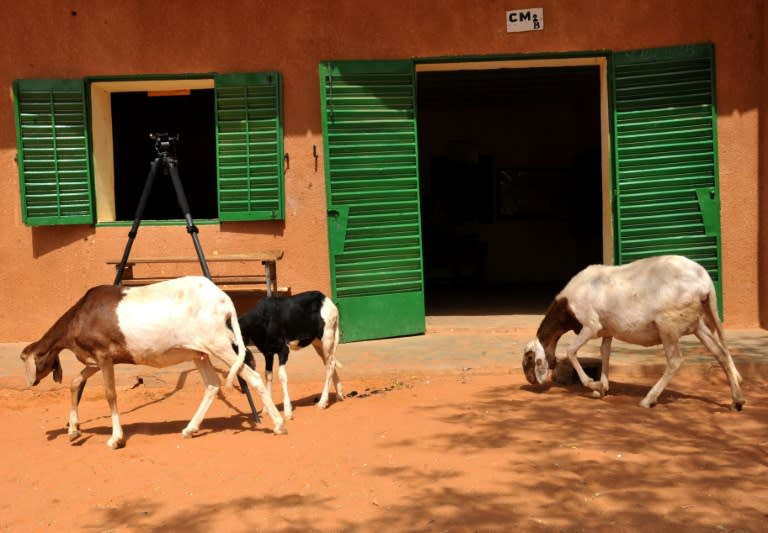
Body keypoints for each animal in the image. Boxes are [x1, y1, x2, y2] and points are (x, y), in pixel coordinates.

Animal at [520, 256, 744, 410]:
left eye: (530, 358)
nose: (531, 381)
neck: (568, 304)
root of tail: (705, 282)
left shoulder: (591, 325)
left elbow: (571, 352)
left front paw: (593, 384)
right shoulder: (607, 331)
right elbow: (604, 354)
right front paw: (602, 388)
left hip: (668, 325)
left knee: (675, 361)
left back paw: (648, 400)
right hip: (697, 324)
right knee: (721, 353)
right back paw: (737, 400)